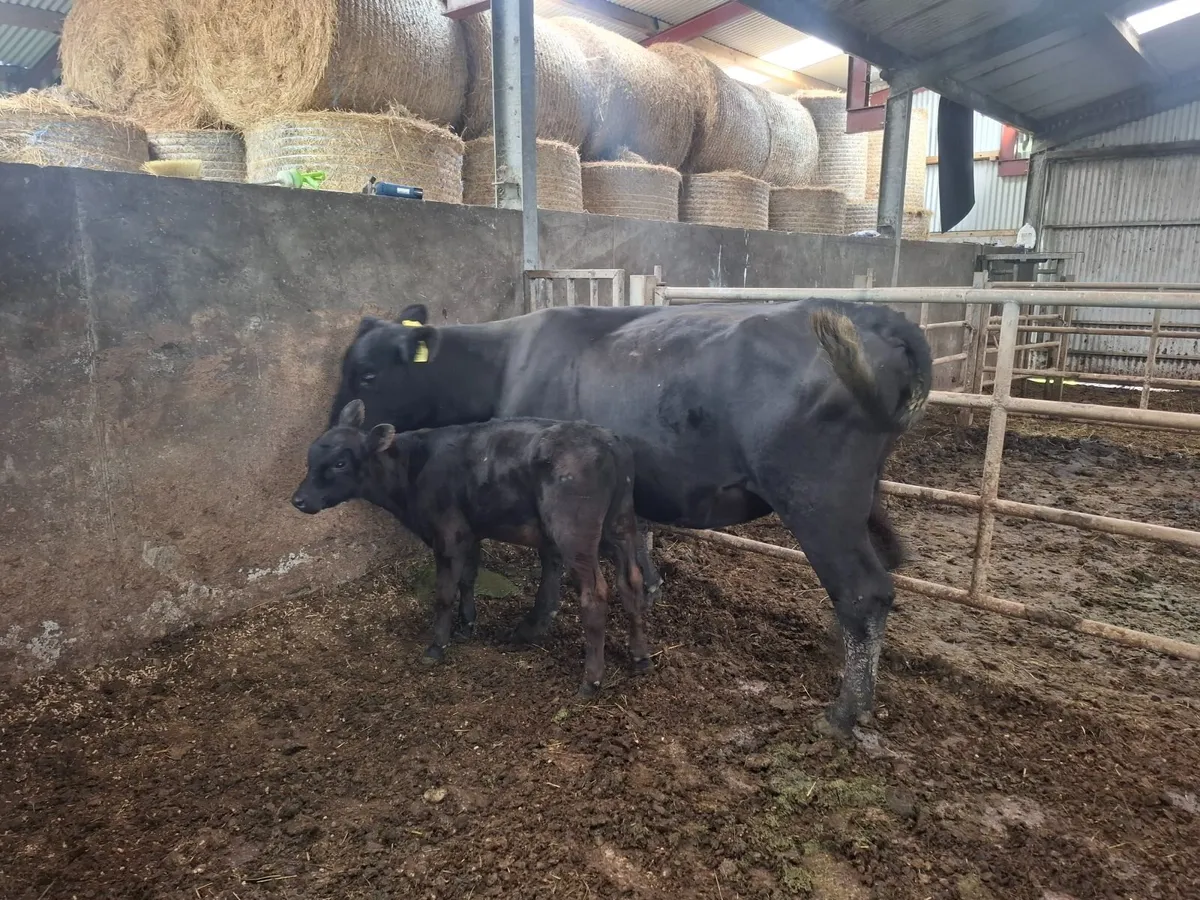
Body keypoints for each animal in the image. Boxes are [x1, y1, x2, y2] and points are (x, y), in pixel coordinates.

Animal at [292, 399, 650, 695]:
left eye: (340, 463)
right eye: (310, 456)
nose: (299, 500)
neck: (410, 470)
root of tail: (609, 441)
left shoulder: (448, 532)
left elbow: (444, 592)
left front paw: (437, 645)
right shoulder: (470, 531)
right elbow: (468, 578)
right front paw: (466, 626)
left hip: (574, 532)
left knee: (596, 594)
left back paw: (591, 681)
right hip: (620, 523)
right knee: (631, 581)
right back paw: (640, 657)